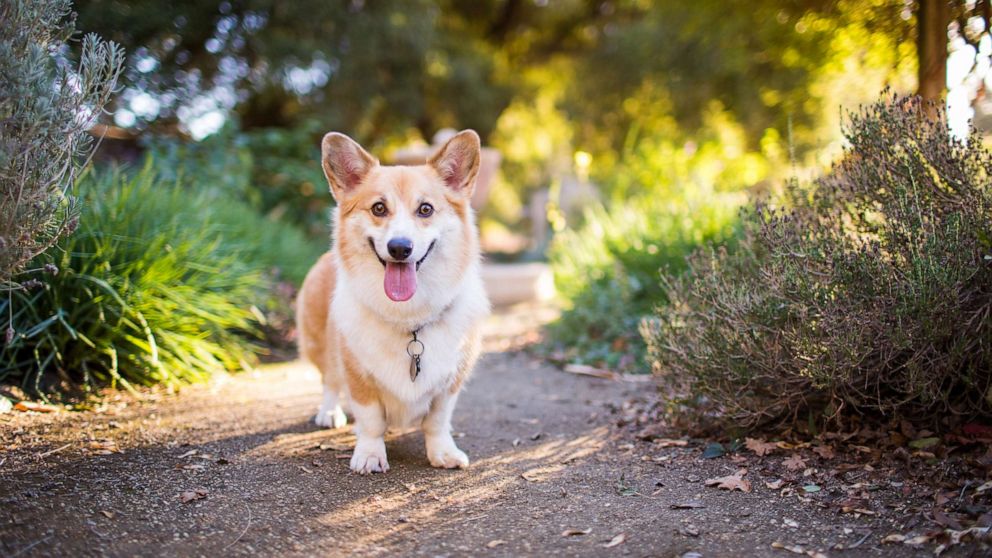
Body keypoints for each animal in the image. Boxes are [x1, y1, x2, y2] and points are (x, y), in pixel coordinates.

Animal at [296, 129, 494, 474]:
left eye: (425, 209)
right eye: (378, 208)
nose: (400, 248)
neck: (409, 317)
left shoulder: (450, 382)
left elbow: (437, 421)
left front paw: (443, 452)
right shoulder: (358, 373)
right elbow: (371, 420)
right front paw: (370, 456)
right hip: (319, 344)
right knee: (329, 381)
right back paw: (330, 413)